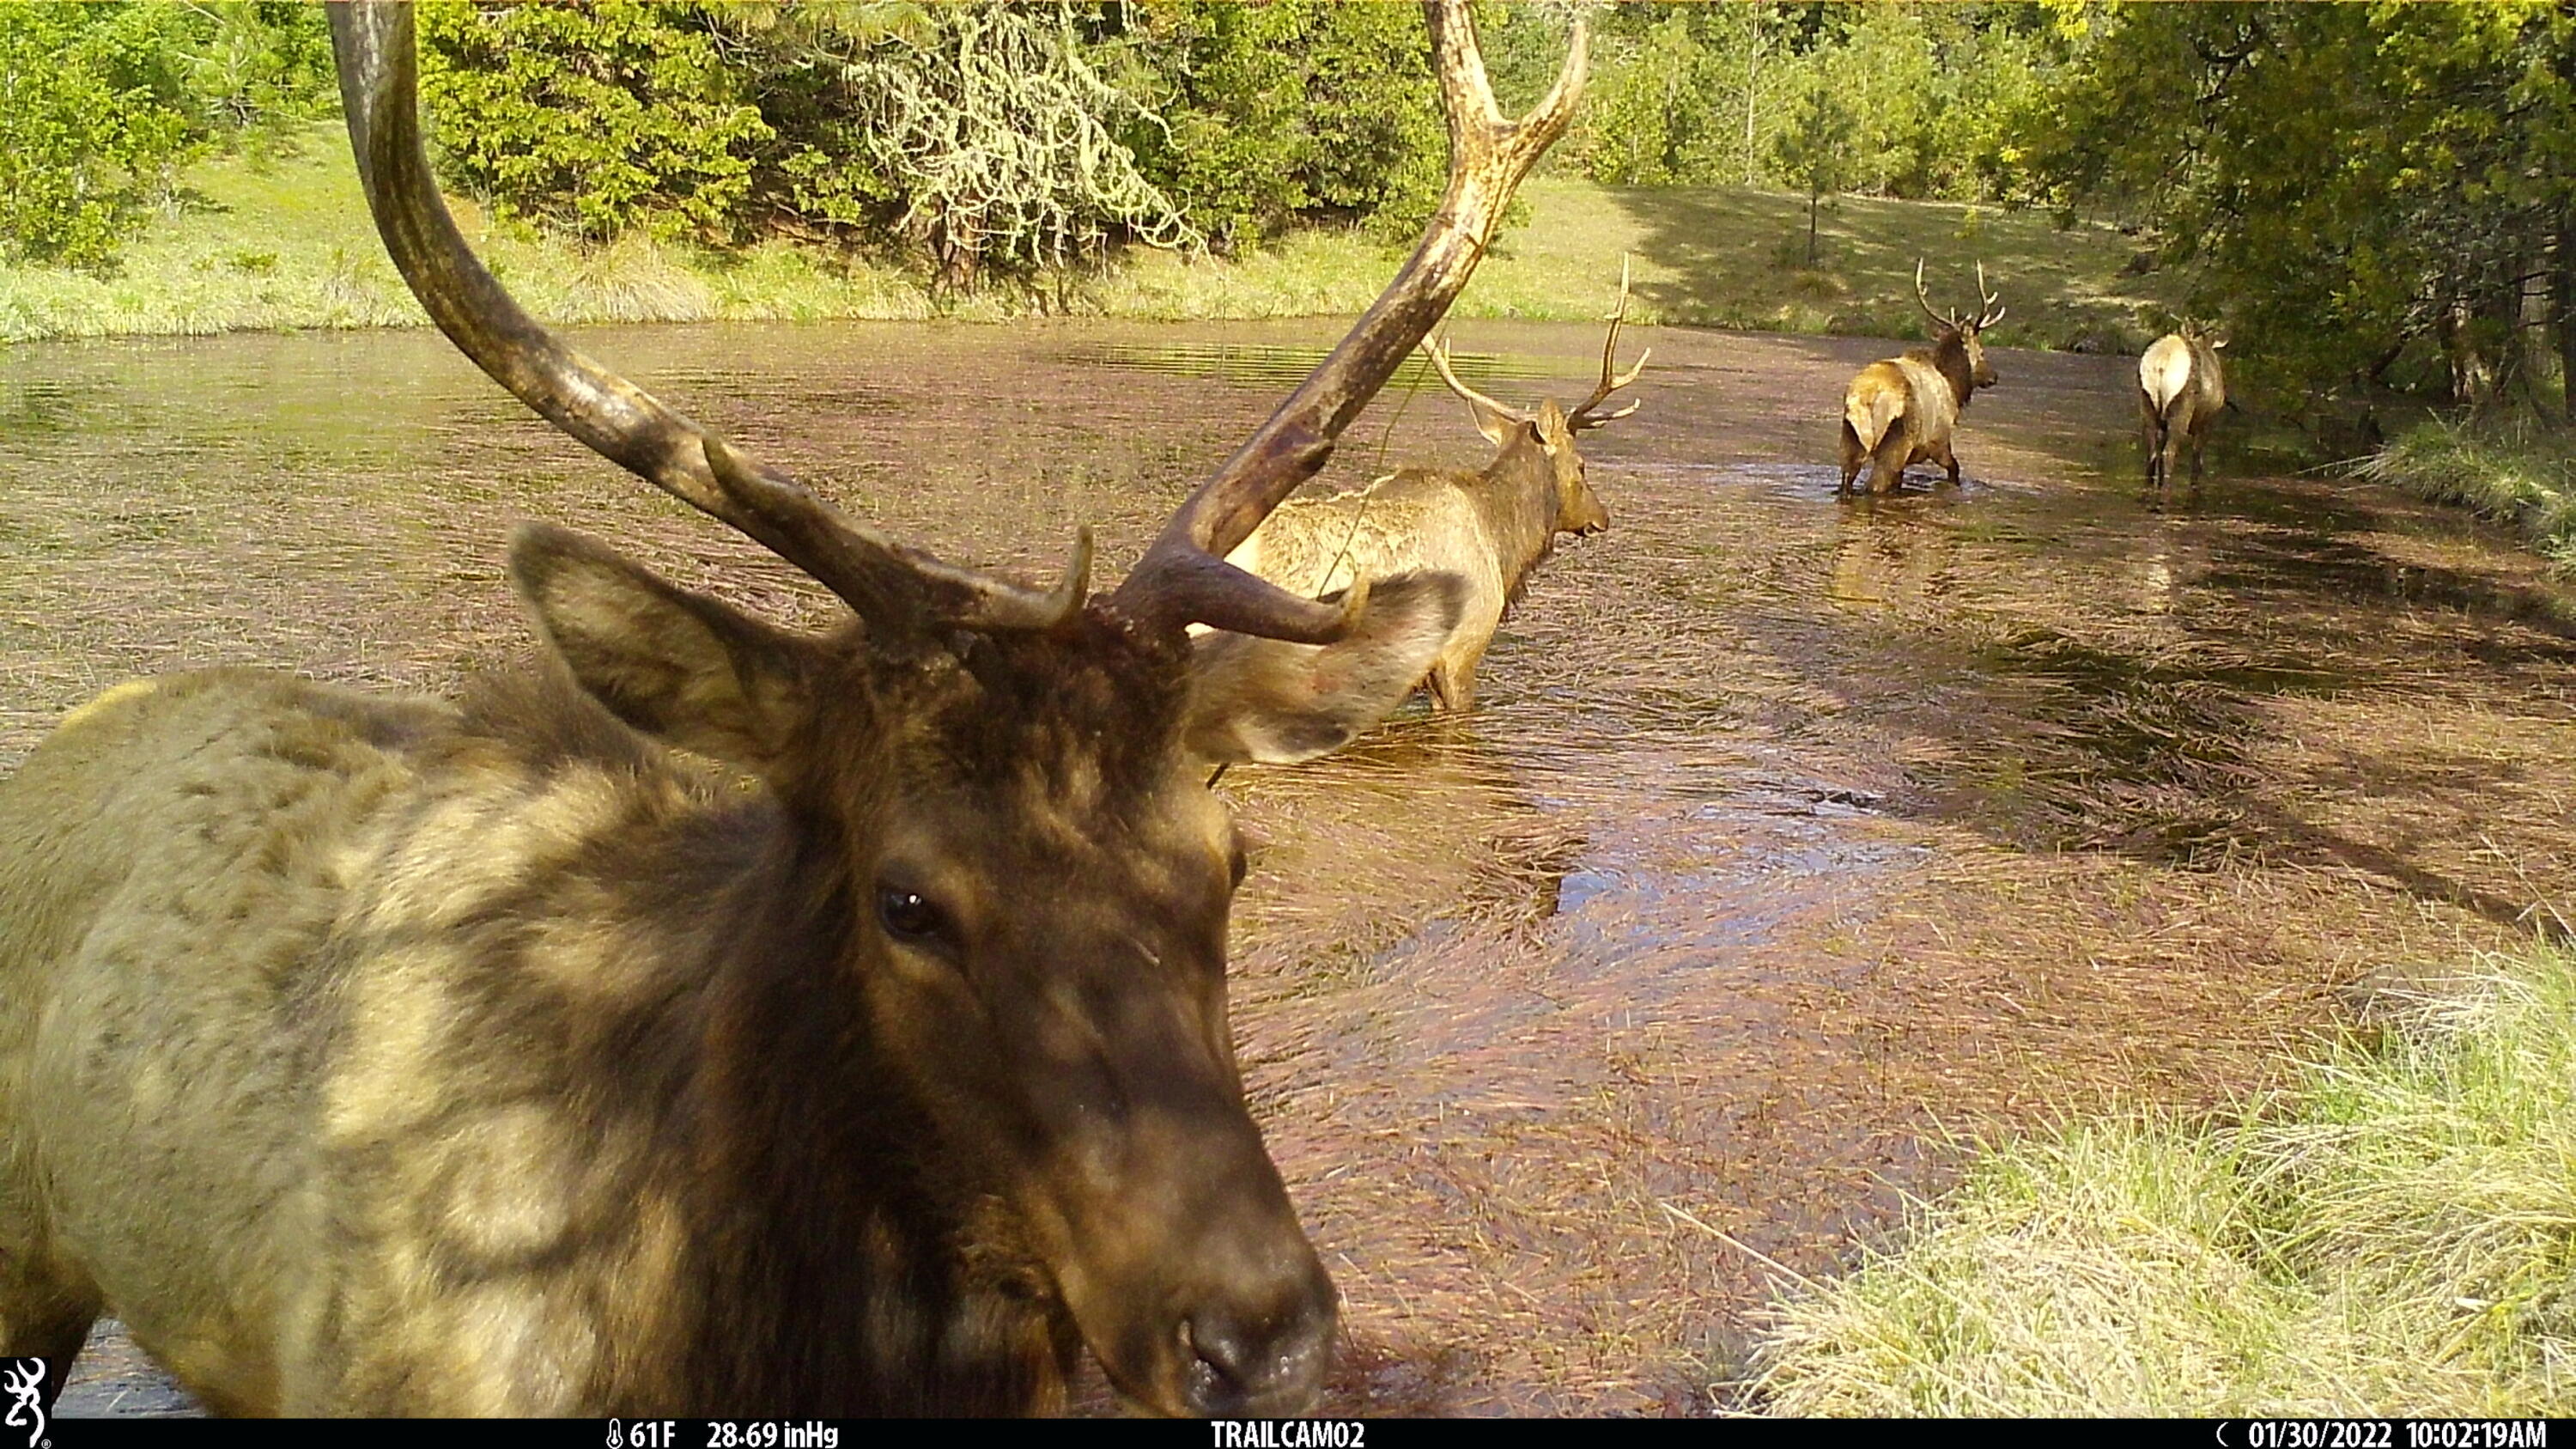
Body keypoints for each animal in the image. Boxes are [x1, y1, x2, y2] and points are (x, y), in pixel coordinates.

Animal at [1838, 260, 2007, 495]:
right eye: (1981, 351)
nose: (1994, 376)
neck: (1954, 386)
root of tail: (1865, 398)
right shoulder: (1938, 441)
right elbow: (1955, 469)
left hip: (1851, 438)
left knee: (1847, 479)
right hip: (1899, 441)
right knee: (1875, 485)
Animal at [2139, 326, 2227, 501]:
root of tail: (2161, 363)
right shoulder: (2206, 423)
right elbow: (2197, 459)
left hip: (2147, 404)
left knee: (2152, 453)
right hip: (2181, 409)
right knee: (2169, 453)